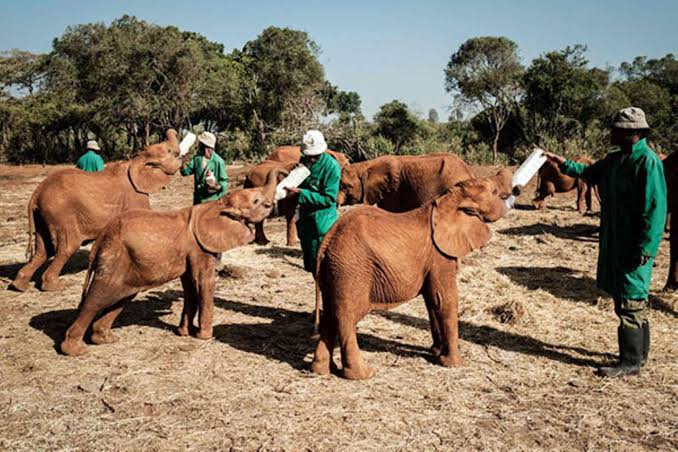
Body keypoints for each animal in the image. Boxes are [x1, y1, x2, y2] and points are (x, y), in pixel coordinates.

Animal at [10, 129, 183, 292]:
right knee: (66, 246)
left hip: (44, 215)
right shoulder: (135, 196)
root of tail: (36, 193)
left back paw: (19, 286)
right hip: (60, 213)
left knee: (43, 250)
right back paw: (56, 287)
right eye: (169, 151)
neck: (137, 160)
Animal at [60, 170, 280, 357]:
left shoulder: (190, 252)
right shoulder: (200, 249)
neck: (217, 204)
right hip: (113, 258)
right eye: (256, 201)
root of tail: (100, 239)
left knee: (121, 298)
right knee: (95, 300)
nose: (272, 206)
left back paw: (106, 340)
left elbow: (190, 287)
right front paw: (205, 337)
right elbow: (203, 283)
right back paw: (76, 351)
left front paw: (185, 333)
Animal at [310, 169, 513, 380]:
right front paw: (454, 364)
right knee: (346, 317)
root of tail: (327, 241)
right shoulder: (440, 255)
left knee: (330, 314)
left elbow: (432, 300)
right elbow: (445, 300)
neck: (448, 199)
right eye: (494, 191)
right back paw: (363, 374)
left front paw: (435, 352)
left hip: (334, 271)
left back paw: (321, 370)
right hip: (351, 271)